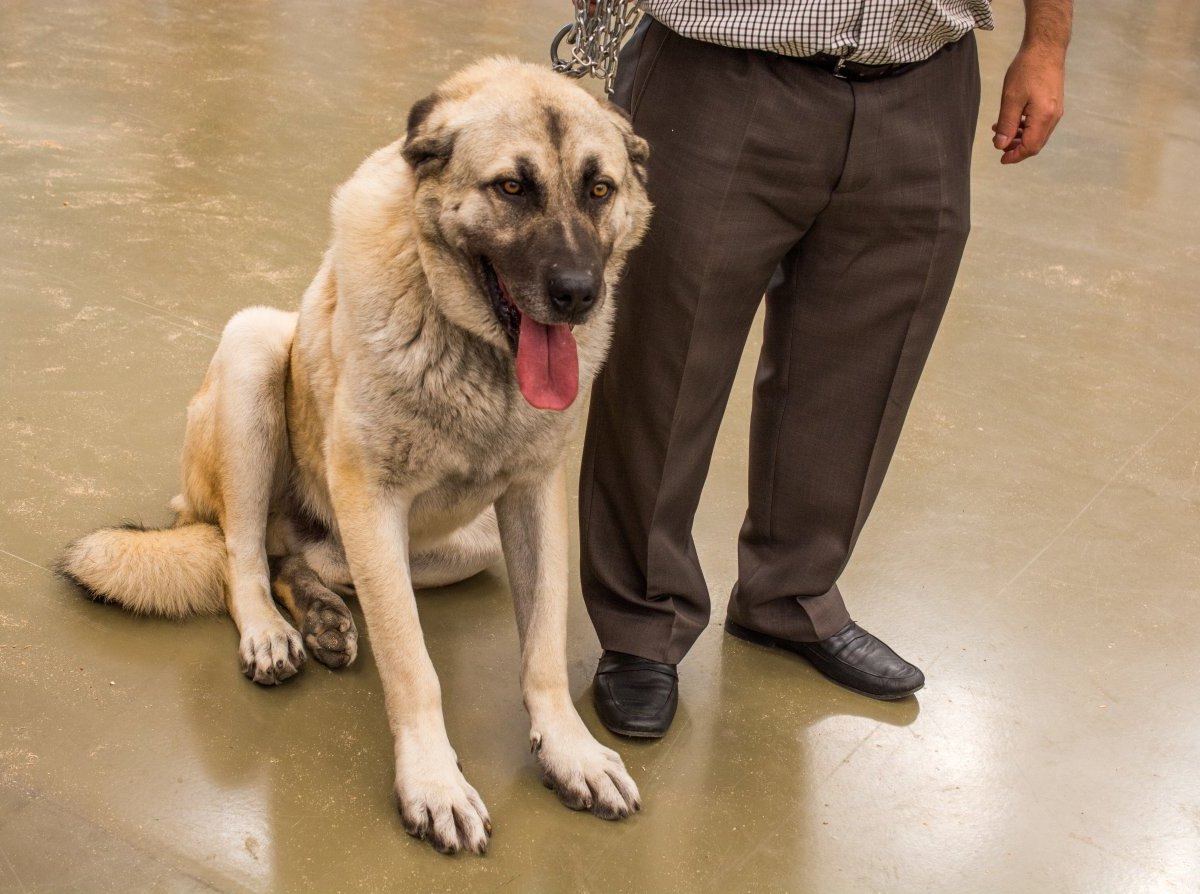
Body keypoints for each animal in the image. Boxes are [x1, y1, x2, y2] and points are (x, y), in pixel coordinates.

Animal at [56, 59, 652, 854]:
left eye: (599, 189)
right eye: (511, 188)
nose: (579, 294)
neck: (474, 350)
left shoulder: (533, 498)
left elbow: (544, 648)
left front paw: (568, 749)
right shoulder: (373, 499)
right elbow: (411, 662)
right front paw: (433, 783)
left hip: (460, 544)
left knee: (296, 558)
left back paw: (324, 614)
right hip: (254, 346)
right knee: (241, 556)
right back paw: (272, 631)